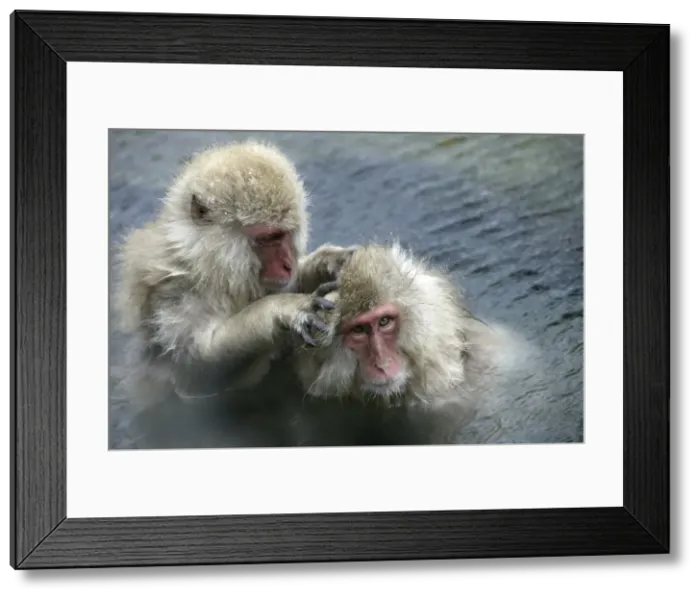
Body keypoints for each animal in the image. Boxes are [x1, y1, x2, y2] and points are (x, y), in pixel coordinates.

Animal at [111, 139, 356, 409]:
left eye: (285, 234)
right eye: (269, 238)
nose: (288, 265)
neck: (209, 268)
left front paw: (327, 263)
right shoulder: (174, 292)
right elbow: (195, 374)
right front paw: (281, 309)